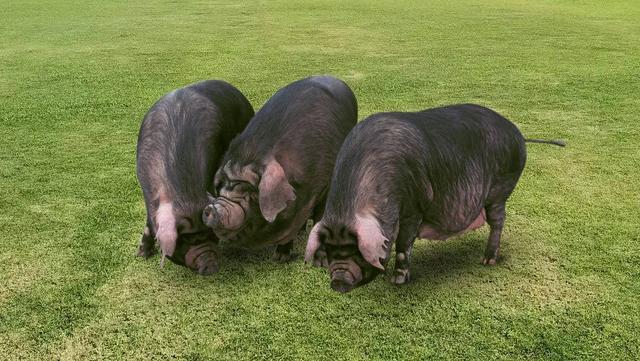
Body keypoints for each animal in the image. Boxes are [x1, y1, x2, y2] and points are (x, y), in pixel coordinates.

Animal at [202, 76, 358, 260]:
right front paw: (280, 257)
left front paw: (286, 258)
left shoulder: (325, 185)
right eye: (221, 187)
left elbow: (318, 217)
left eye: (249, 192)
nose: (211, 207)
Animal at [304, 104, 564, 292]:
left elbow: (403, 245)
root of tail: (518, 134)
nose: (338, 281)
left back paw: (487, 261)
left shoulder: (413, 207)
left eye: (355, 250)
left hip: (500, 188)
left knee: (498, 221)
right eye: (329, 250)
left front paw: (397, 282)